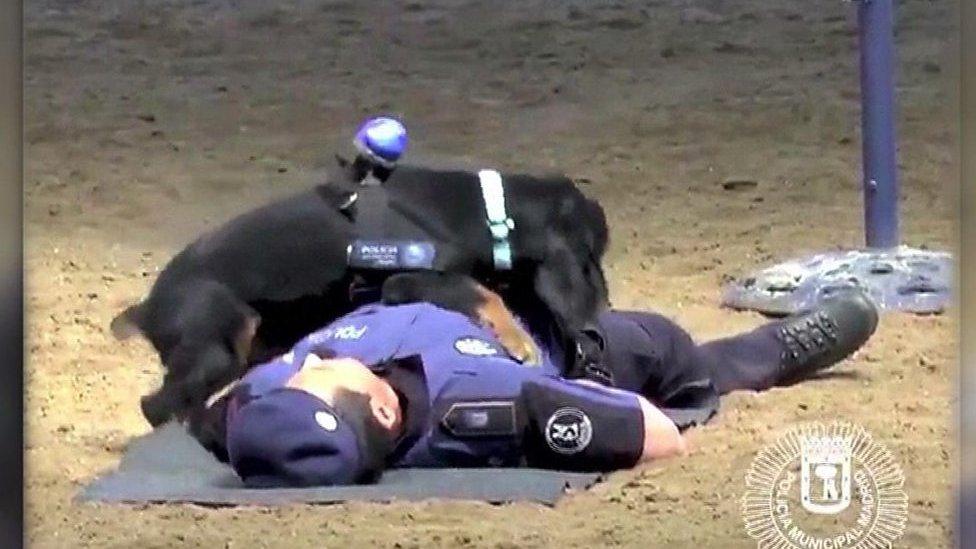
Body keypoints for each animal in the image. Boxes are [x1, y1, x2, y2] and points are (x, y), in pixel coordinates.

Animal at [114, 161, 608, 426]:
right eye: (587, 255)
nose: (600, 315)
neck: (485, 212)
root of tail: (147, 308)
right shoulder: (405, 280)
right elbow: (484, 294)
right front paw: (519, 342)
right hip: (220, 344)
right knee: (156, 406)